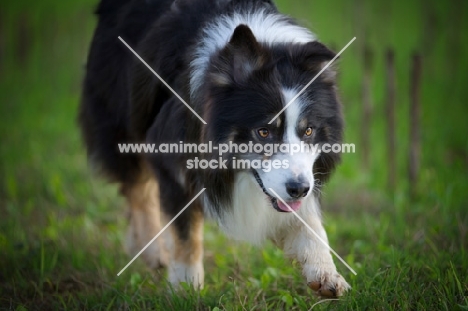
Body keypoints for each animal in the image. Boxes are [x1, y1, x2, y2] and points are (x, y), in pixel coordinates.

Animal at [80, 0, 350, 298]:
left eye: (309, 131)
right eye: (263, 132)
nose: (299, 189)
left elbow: (309, 220)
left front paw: (326, 274)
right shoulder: (172, 156)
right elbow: (186, 231)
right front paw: (186, 288)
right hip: (122, 116)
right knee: (137, 186)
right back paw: (153, 252)